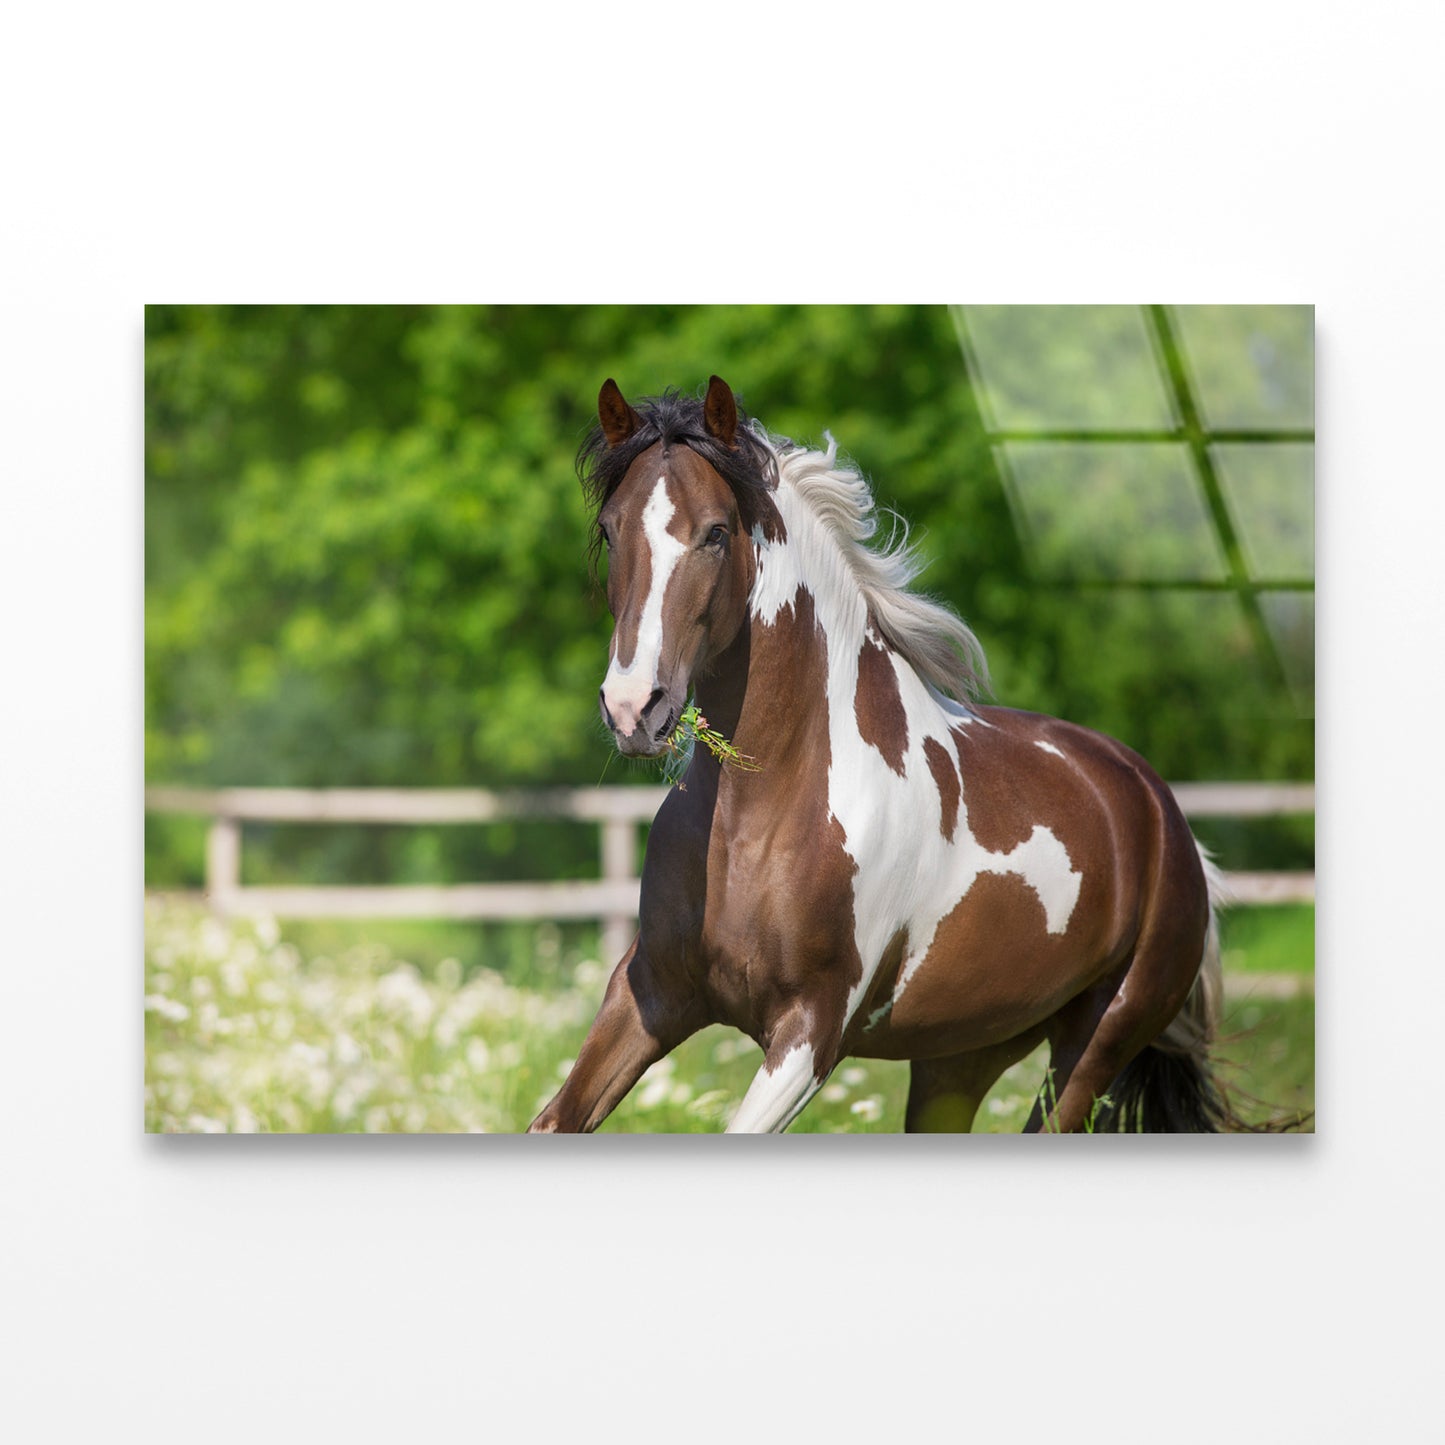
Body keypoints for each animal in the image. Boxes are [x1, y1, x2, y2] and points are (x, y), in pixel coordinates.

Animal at [529, 375, 1233, 1134]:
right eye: (610, 530)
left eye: (716, 531)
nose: (635, 708)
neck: (762, 816)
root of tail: (1163, 814)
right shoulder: (651, 994)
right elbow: (554, 1120)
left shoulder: (811, 1032)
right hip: (959, 1057)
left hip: (1092, 1049)